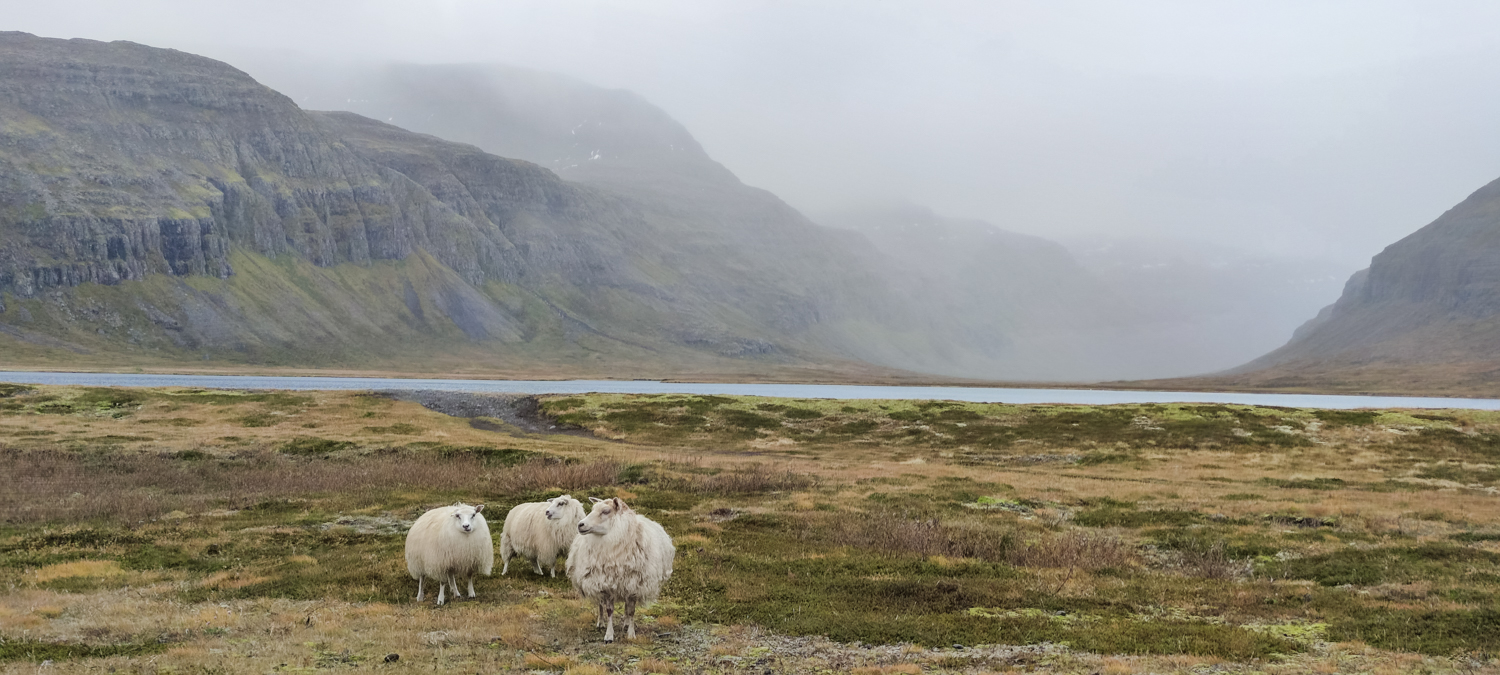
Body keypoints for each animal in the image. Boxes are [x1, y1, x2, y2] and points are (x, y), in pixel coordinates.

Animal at [564, 495, 678, 642]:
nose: (580, 524)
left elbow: (631, 611)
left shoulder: (634, 584)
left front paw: (631, 633)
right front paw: (609, 635)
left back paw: (626, 623)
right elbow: (609, 610)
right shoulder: (606, 584)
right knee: (600, 603)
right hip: (597, 580)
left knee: (626, 604)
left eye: (606, 511)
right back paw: (600, 622)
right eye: (593, 509)